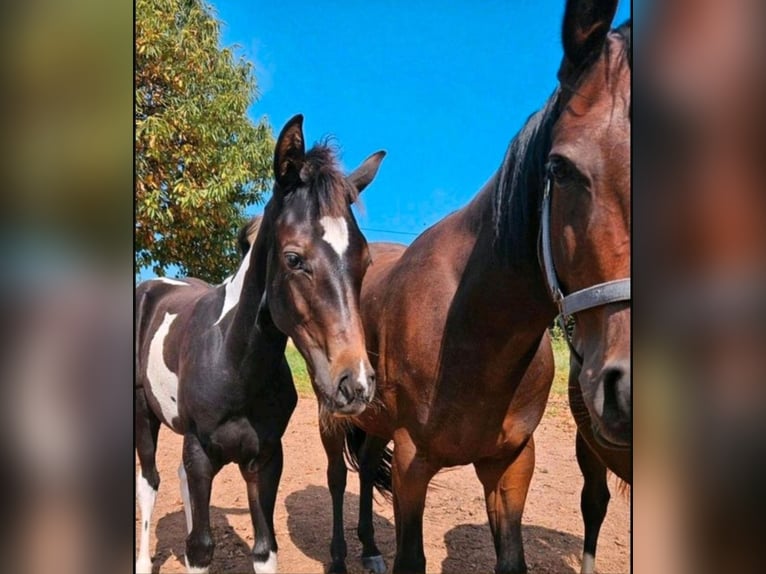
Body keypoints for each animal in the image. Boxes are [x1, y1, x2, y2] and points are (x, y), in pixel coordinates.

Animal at [134, 114, 386, 574]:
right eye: (293, 258)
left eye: (365, 260)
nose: (355, 384)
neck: (234, 364)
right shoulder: (201, 452)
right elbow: (201, 548)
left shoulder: (267, 459)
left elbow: (265, 548)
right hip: (145, 413)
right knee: (150, 482)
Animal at [316, 2, 631, 573]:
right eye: (560, 168)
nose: (629, 387)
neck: (471, 331)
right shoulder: (414, 462)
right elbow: (410, 558)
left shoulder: (510, 463)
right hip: (334, 414)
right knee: (334, 478)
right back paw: (341, 555)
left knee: (366, 464)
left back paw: (369, 547)